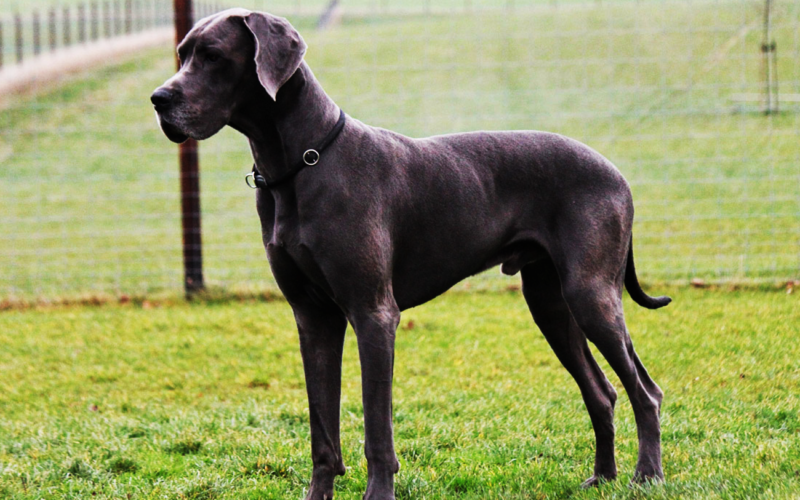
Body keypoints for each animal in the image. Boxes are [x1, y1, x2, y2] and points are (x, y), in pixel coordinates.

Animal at [150, 8, 668, 500]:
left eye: (214, 56)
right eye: (182, 54)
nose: (158, 99)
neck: (301, 163)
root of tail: (617, 173)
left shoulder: (374, 314)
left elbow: (377, 427)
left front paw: (379, 492)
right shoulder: (313, 318)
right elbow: (322, 428)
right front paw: (319, 492)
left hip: (590, 295)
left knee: (646, 392)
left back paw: (646, 476)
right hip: (550, 304)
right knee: (602, 392)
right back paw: (603, 477)